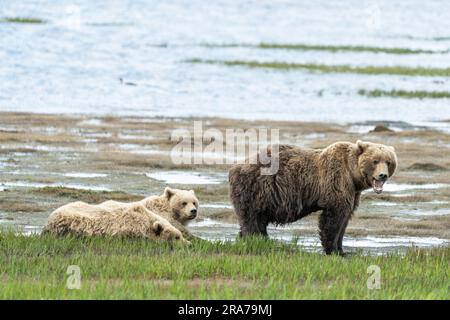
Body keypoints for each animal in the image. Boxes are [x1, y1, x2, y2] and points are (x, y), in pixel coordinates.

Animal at [229, 140, 398, 255]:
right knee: (252, 219)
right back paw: (256, 241)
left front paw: (342, 250)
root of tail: (236, 167)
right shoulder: (335, 182)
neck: (352, 175)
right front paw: (333, 250)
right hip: (256, 189)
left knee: (255, 219)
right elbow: (333, 219)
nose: (382, 175)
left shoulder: (353, 192)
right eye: (375, 161)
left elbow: (345, 219)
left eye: (389, 161)